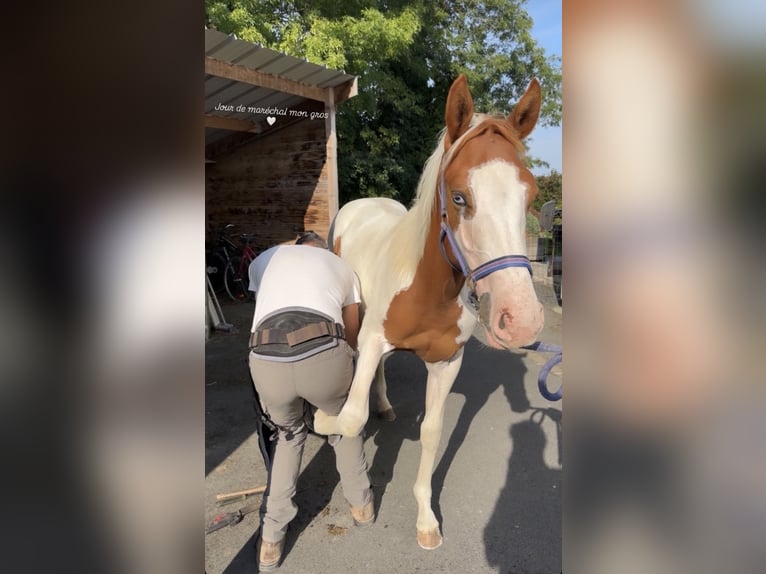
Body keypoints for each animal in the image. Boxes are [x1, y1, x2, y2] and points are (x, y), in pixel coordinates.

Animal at [314, 74, 545, 549]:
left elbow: (432, 433)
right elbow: (350, 419)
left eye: (531, 195)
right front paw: (327, 425)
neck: (425, 290)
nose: (521, 319)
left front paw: (425, 520)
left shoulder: (446, 362)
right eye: (459, 197)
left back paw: (385, 405)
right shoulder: (371, 340)